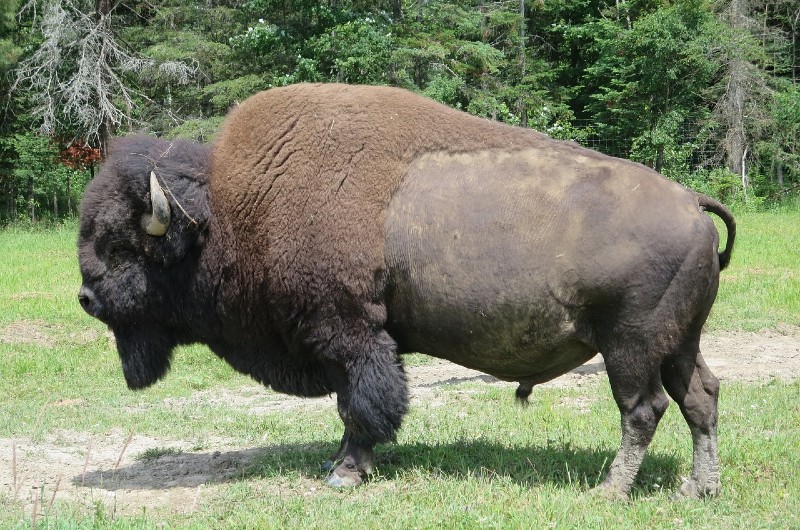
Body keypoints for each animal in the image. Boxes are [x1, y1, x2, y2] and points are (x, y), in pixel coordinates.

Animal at [78, 83, 735, 499]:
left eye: (123, 245)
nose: (86, 298)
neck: (233, 209)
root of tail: (691, 204)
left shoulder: (348, 333)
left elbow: (362, 404)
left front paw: (345, 473)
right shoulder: (350, 339)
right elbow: (355, 404)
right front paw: (342, 464)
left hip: (630, 346)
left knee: (642, 410)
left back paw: (609, 492)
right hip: (679, 342)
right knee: (700, 398)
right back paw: (697, 489)